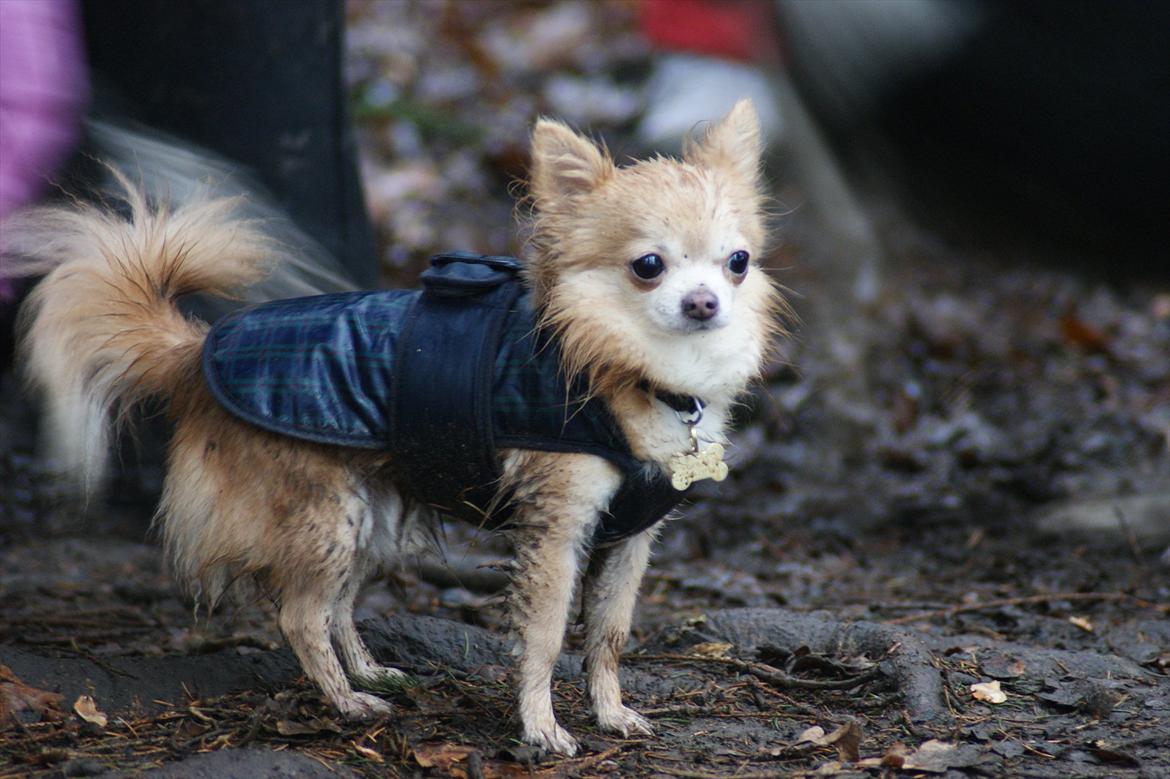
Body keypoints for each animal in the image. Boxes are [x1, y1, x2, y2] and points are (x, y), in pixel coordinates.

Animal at [9, 98, 781, 753]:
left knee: (337, 606)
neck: (636, 373)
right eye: (648, 266)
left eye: (737, 262)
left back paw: (369, 673)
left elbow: (609, 635)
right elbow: (544, 634)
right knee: (300, 614)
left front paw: (612, 712)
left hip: (373, 518)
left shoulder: (629, 540)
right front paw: (541, 728)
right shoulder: (556, 532)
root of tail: (196, 355)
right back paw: (346, 701)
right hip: (328, 514)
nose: (706, 302)